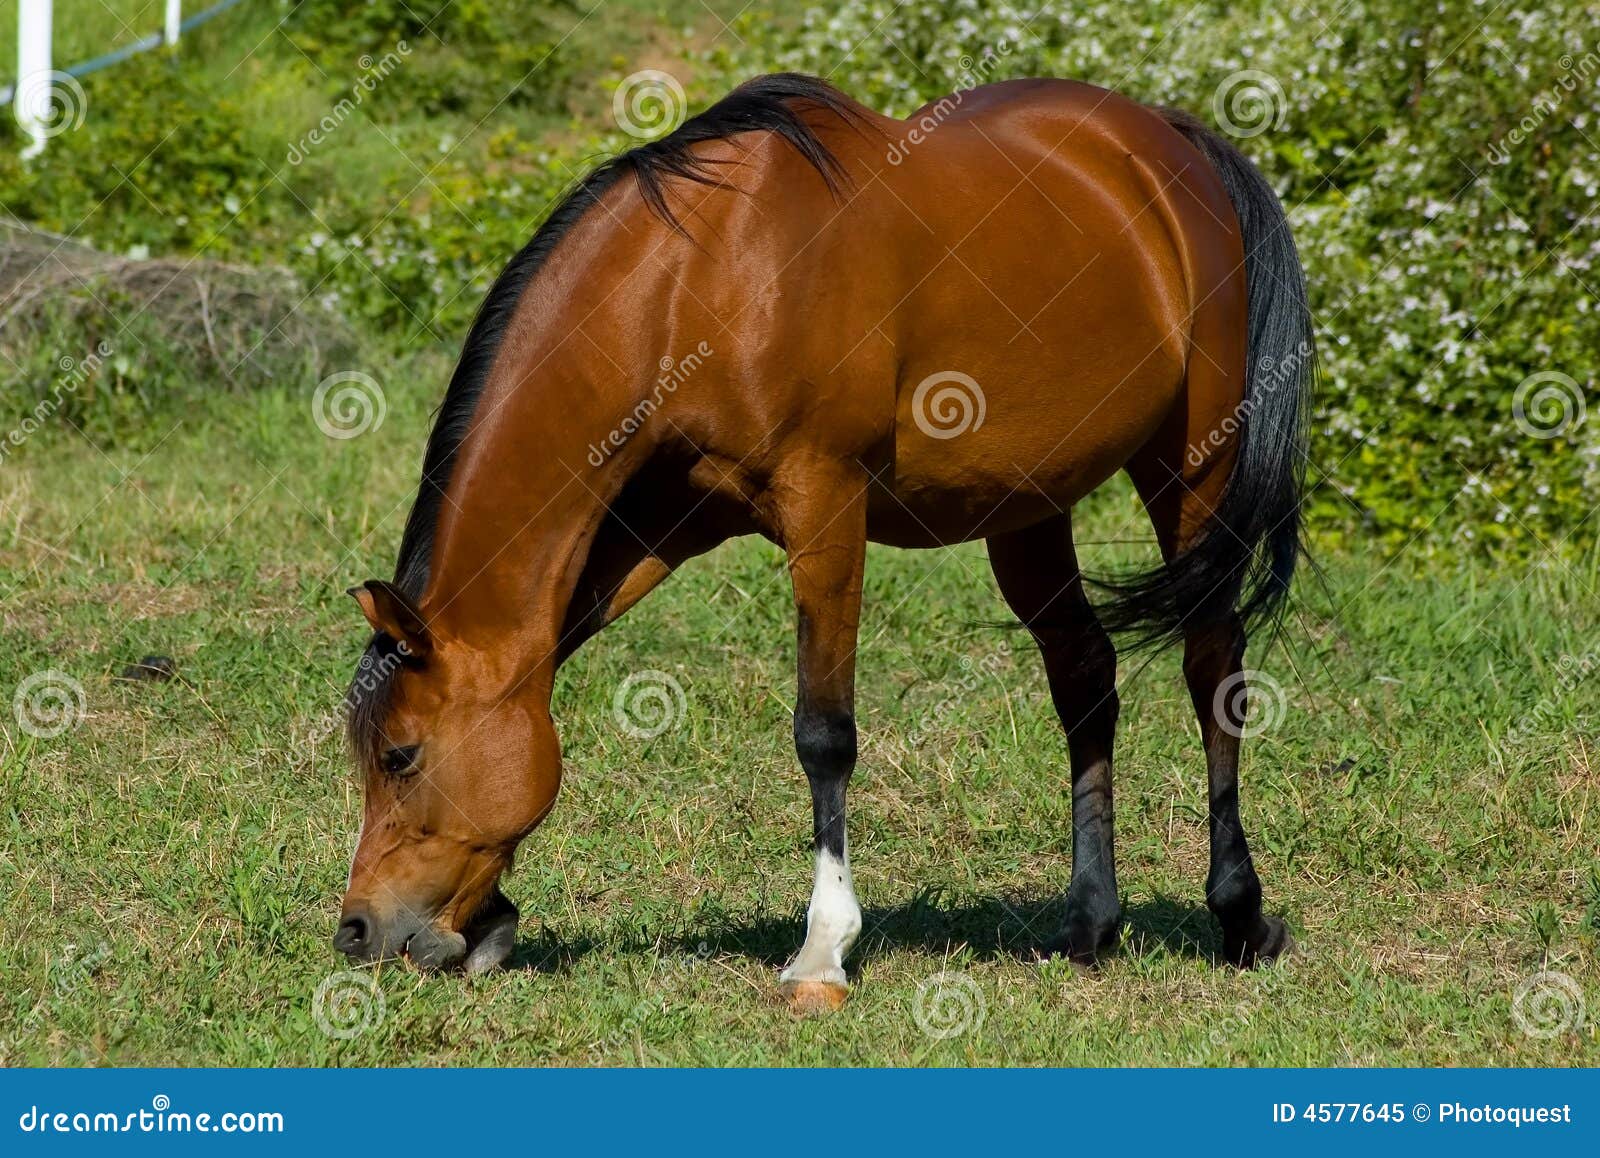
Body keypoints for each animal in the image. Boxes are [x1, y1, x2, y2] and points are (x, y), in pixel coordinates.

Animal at [333, 72, 1314, 1012]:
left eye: (400, 756)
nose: (358, 931)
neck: (699, 278)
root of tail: (1169, 141)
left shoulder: (826, 508)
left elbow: (824, 734)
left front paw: (823, 949)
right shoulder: (653, 527)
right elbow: (542, 656)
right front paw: (491, 917)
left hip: (1193, 469)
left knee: (1211, 662)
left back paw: (1238, 914)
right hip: (1030, 506)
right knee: (1084, 674)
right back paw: (1091, 922)